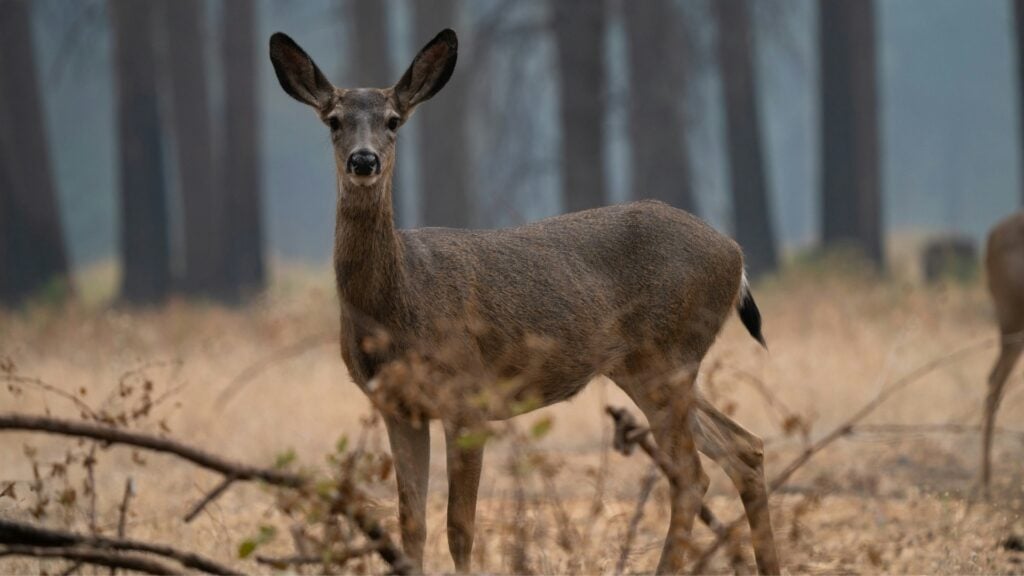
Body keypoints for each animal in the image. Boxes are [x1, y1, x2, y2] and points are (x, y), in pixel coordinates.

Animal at [269, 29, 780, 574]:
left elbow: (459, 527)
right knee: (745, 448)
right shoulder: (398, 406)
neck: (399, 301)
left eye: (392, 121)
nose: (364, 160)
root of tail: (735, 255)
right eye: (334, 120)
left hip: (669, 353)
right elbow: (412, 524)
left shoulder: (467, 395)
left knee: (691, 474)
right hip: (645, 368)